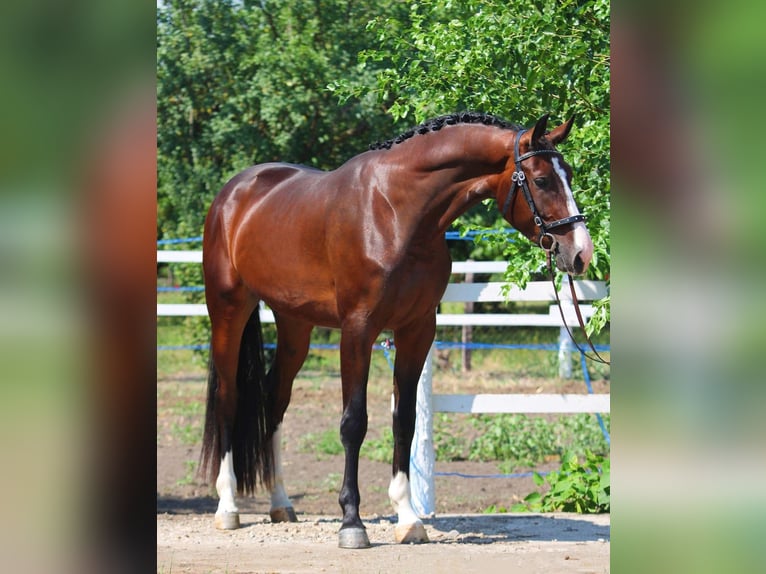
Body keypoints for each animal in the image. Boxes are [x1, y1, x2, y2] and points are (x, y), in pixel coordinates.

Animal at [200, 112, 594, 548]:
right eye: (541, 180)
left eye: (569, 174)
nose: (581, 253)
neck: (396, 213)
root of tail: (235, 192)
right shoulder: (358, 329)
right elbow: (354, 422)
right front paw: (352, 522)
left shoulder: (417, 329)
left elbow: (404, 420)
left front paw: (408, 518)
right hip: (229, 311)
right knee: (228, 399)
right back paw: (227, 507)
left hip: (294, 324)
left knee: (274, 399)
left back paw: (281, 502)